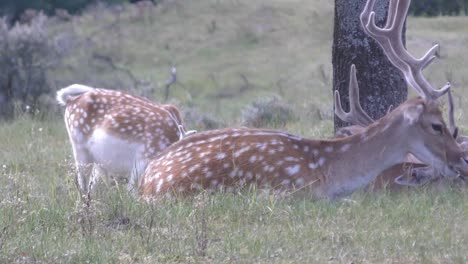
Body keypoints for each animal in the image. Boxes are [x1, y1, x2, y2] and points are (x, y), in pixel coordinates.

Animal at [56, 83, 196, 197]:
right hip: (79, 148)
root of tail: (70, 101)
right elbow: (131, 191)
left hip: (99, 160)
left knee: (94, 182)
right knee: (82, 182)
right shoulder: (142, 159)